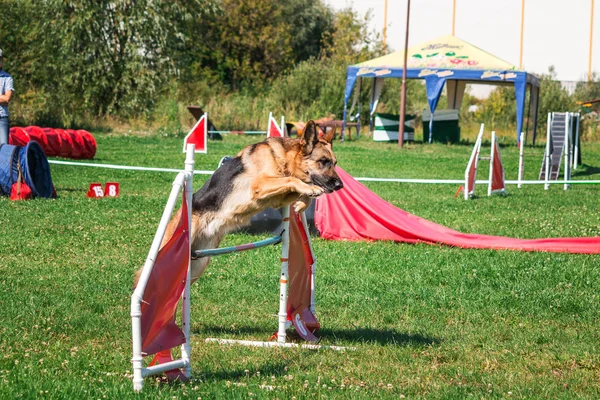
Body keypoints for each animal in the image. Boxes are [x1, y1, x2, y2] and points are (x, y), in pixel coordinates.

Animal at [135, 120, 342, 286]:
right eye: (323, 161)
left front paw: (302, 202)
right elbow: (292, 180)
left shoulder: (277, 198)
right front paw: (310, 190)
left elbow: (295, 188)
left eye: (335, 163)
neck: (281, 158)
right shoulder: (260, 185)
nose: (340, 185)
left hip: (198, 263)